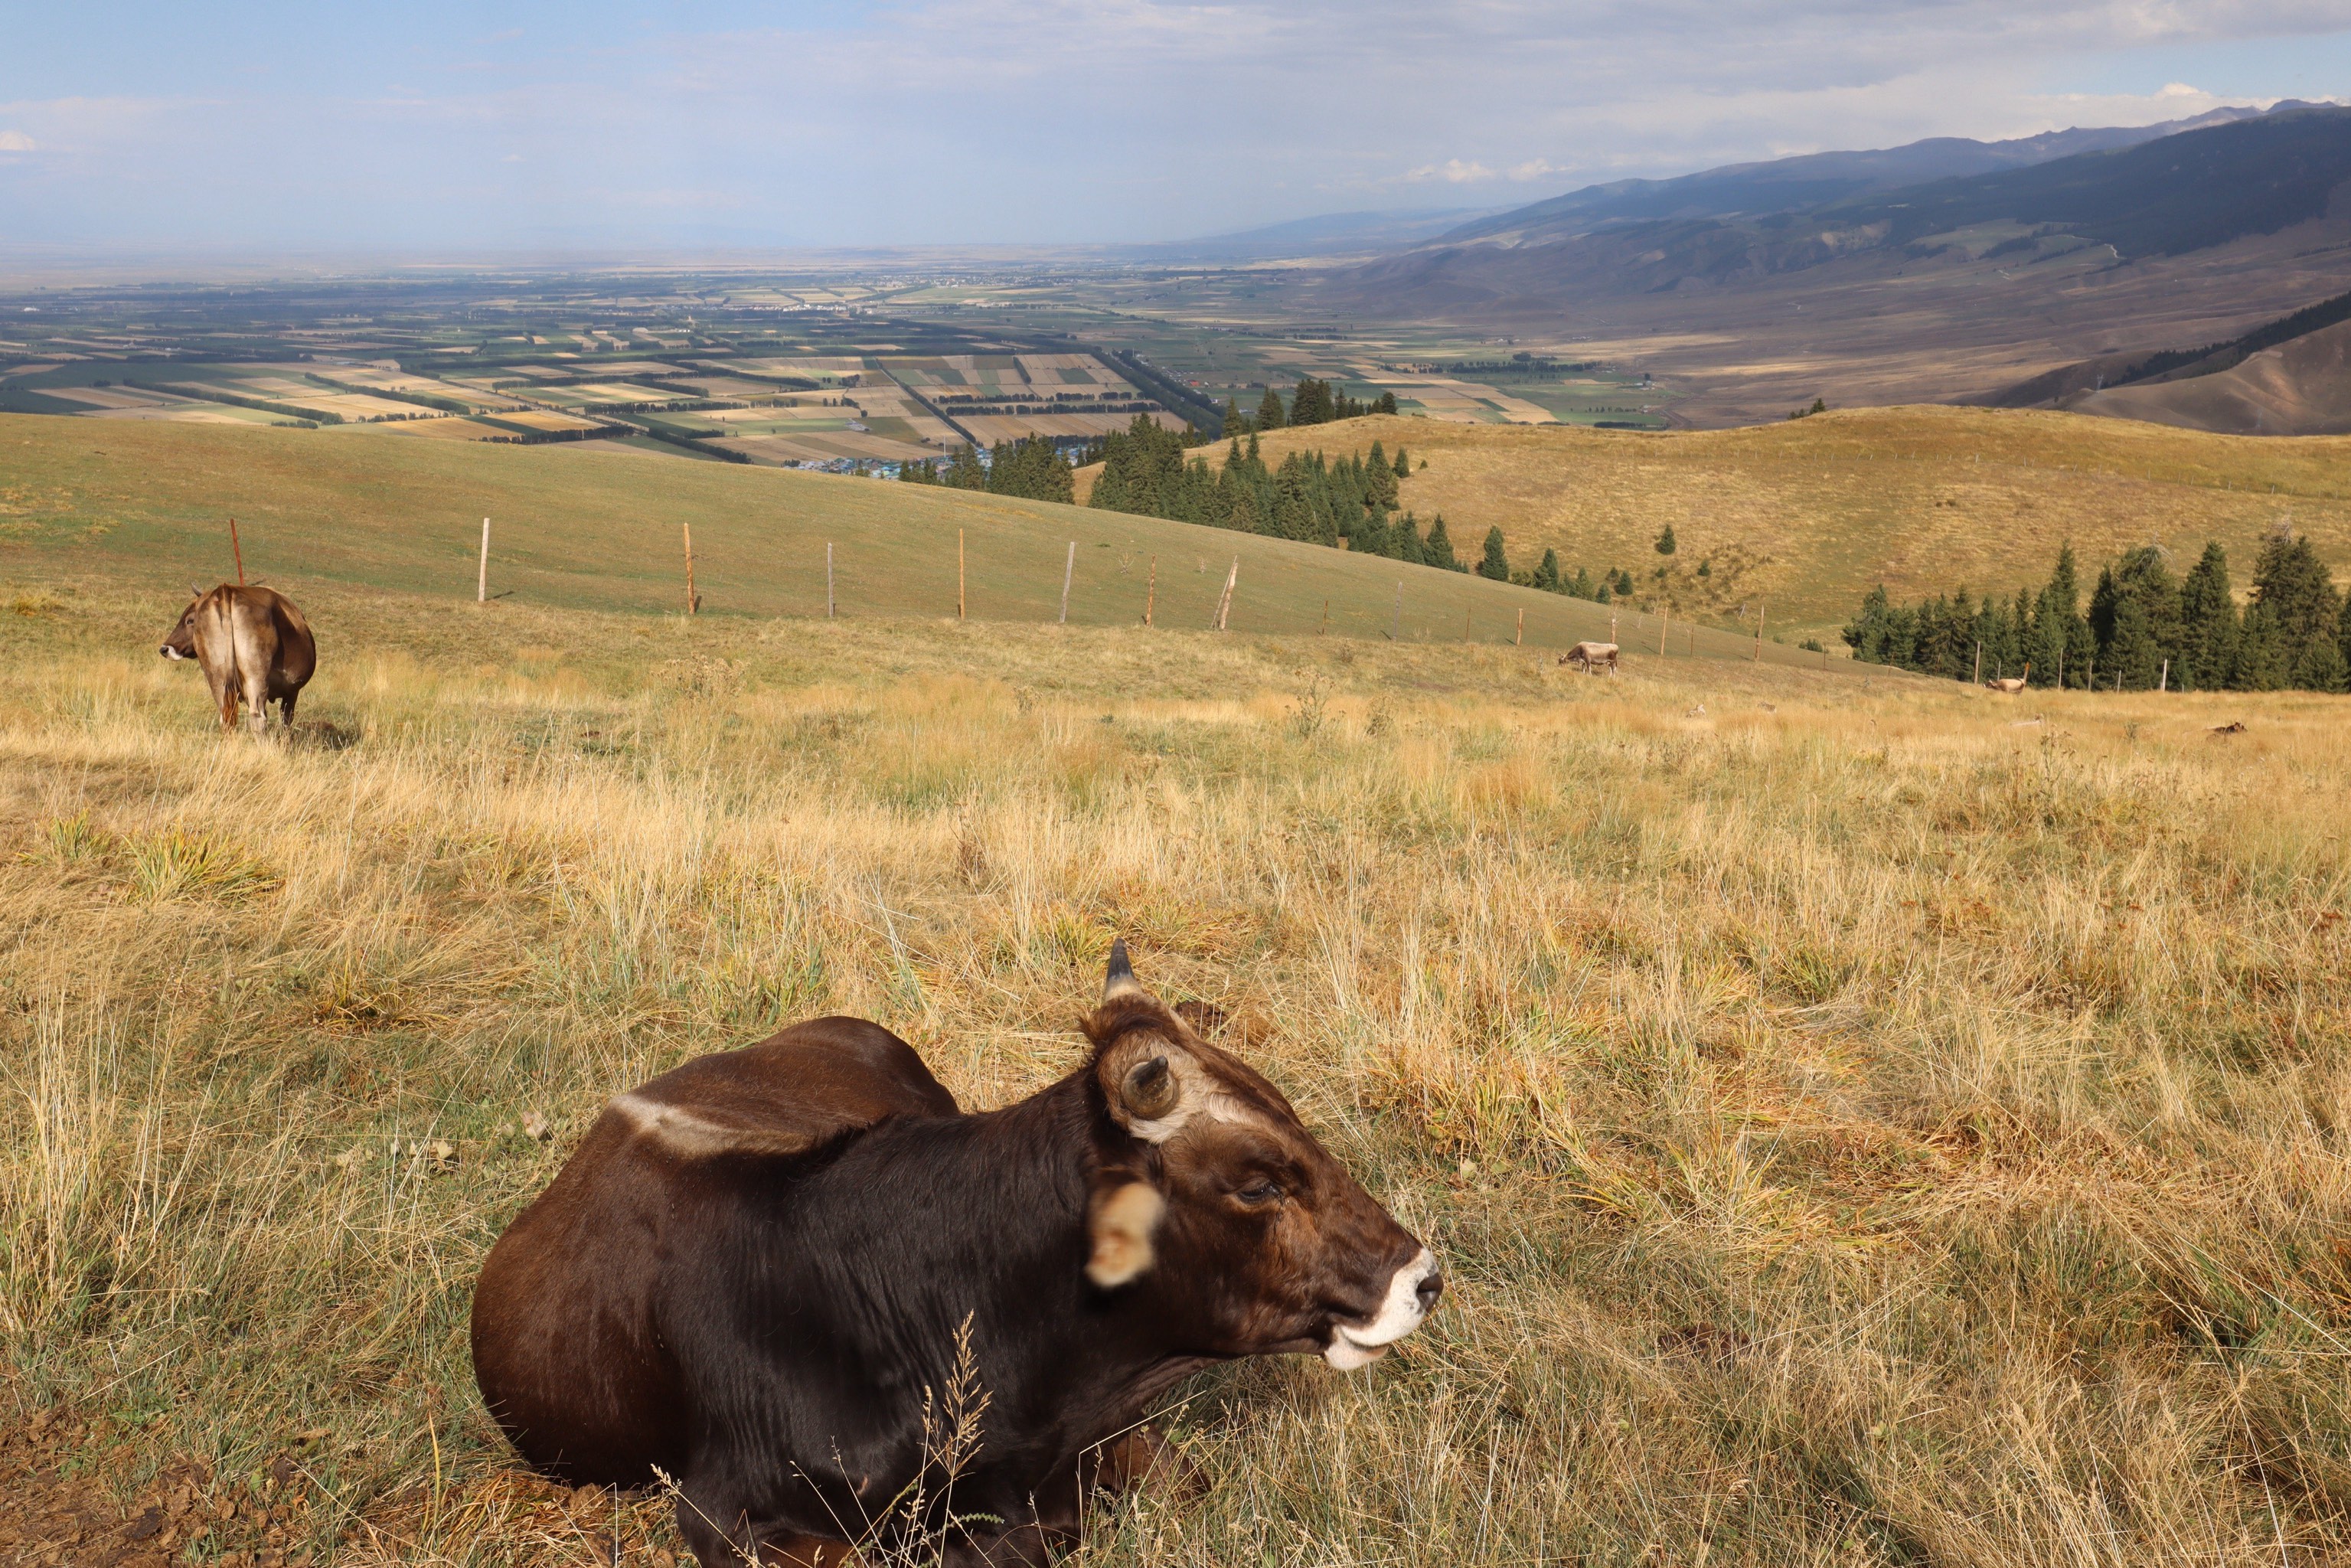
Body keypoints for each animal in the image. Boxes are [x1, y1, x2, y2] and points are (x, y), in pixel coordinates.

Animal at [158, 585, 317, 738]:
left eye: (190, 620)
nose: (164, 648)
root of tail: (226, 590)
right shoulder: (292, 691)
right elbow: (286, 721)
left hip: (217, 678)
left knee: (226, 717)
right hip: (256, 677)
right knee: (258, 717)